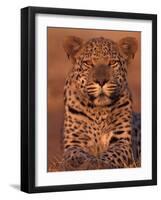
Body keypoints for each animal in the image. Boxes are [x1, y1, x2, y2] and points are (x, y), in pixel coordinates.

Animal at [61, 35, 141, 170]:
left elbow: (112, 154)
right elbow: (75, 153)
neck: (98, 111)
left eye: (113, 63)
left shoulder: (122, 141)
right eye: (88, 63)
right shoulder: (74, 141)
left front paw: (98, 163)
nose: (101, 81)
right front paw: (81, 162)